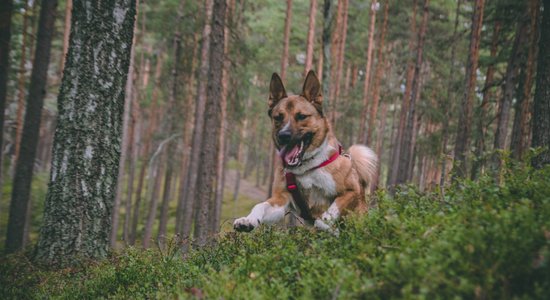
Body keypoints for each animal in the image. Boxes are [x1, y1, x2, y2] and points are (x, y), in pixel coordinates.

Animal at [233, 71, 380, 234]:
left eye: (301, 116)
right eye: (278, 117)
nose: (283, 136)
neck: (306, 168)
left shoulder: (351, 191)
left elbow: (328, 214)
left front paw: (327, 226)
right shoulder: (281, 200)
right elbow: (260, 205)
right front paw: (248, 220)